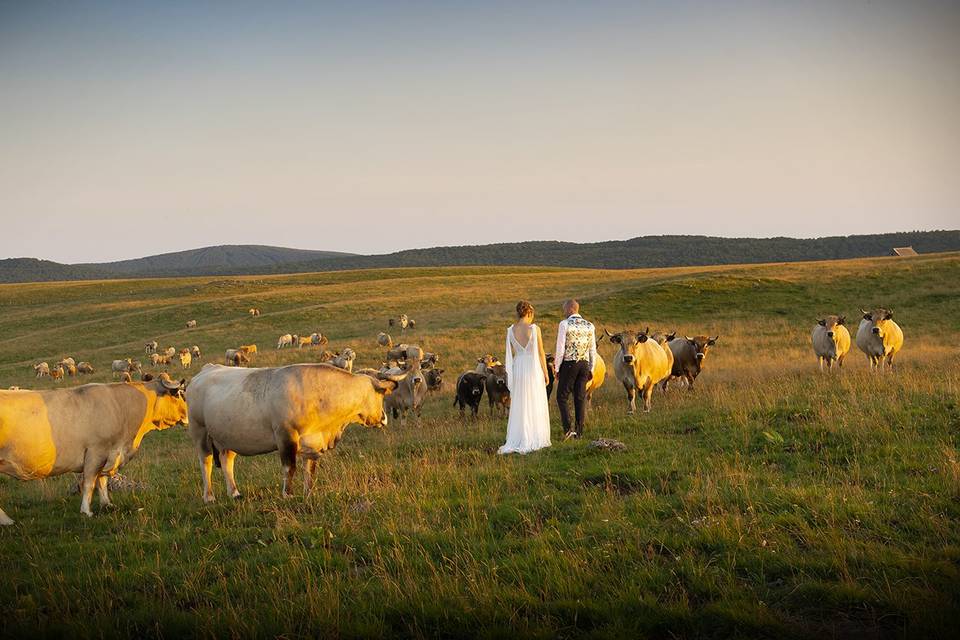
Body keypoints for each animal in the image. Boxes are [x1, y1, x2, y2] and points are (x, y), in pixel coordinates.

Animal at [0, 372, 188, 524]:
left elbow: (102, 481)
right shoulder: (96, 452)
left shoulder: (109, 453)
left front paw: (107, 504)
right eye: (178, 394)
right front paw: (86, 511)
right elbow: (90, 482)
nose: (188, 416)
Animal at [185, 362, 404, 502]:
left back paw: (234, 493)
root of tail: (207, 369)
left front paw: (309, 493)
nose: (384, 418)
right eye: (381, 394)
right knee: (205, 462)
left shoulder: (314, 442)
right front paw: (288, 494)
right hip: (199, 431)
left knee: (226, 461)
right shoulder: (285, 436)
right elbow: (289, 468)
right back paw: (209, 496)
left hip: (226, 437)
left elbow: (310, 469)